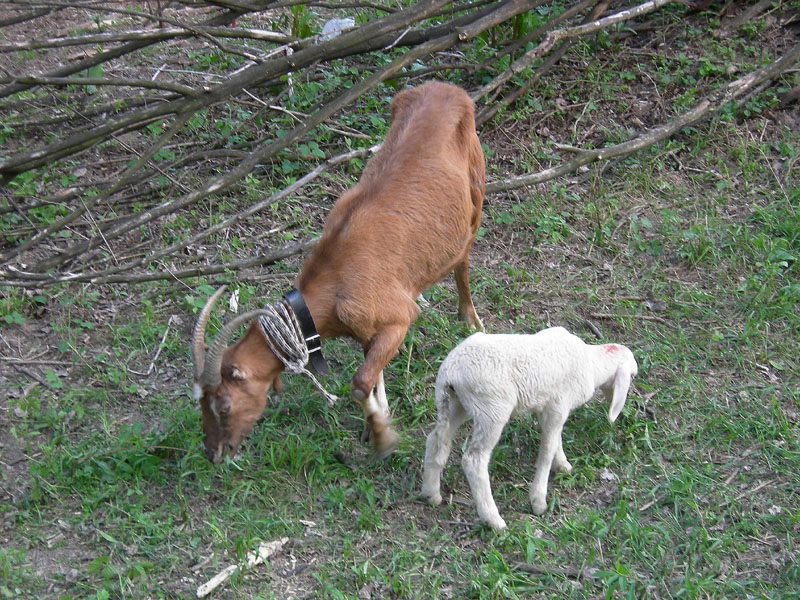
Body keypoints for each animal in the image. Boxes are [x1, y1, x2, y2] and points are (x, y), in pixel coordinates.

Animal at [192, 81, 482, 464]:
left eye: (224, 406)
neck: (335, 280)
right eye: (200, 404)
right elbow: (372, 377)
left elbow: (359, 384)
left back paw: (470, 318)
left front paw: (382, 438)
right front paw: (377, 422)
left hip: (476, 186)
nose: (214, 453)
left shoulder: (398, 320)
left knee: (464, 254)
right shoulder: (368, 331)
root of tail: (445, 87)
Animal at [418, 326, 636, 528]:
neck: (592, 363)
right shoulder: (558, 406)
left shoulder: (546, 407)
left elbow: (555, 438)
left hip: (455, 404)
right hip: (492, 409)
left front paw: (562, 464)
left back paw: (431, 494)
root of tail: (450, 371)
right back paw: (493, 519)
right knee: (474, 460)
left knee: (435, 441)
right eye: (632, 376)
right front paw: (538, 501)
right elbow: (547, 450)